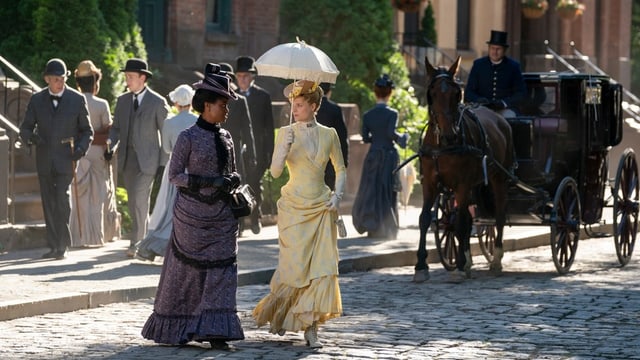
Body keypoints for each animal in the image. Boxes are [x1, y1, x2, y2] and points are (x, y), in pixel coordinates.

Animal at [416, 55, 516, 282]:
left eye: (456, 93)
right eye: (433, 93)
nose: (449, 134)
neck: (442, 145)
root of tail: (500, 119)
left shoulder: (462, 184)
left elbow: (461, 222)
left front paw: (460, 264)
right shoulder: (430, 183)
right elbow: (425, 219)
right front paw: (421, 265)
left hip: (499, 178)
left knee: (499, 214)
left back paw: (495, 259)